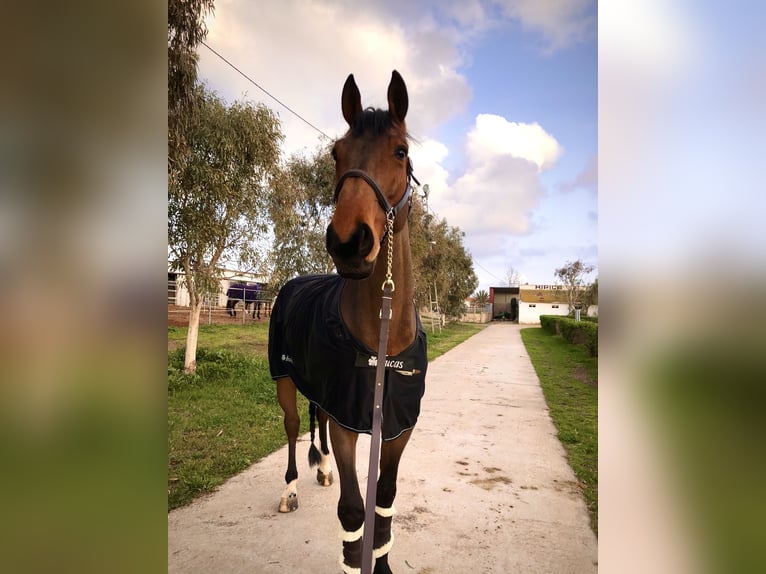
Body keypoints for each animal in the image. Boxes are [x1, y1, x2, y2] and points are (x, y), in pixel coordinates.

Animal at [268, 72, 426, 574]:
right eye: (336, 153)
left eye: (400, 151)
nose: (348, 242)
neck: (382, 347)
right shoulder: (348, 426)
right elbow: (355, 511)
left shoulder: (396, 429)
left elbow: (384, 503)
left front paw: (383, 561)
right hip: (284, 380)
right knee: (294, 427)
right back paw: (291, 489)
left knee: (315, 417)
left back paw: (320, 471)